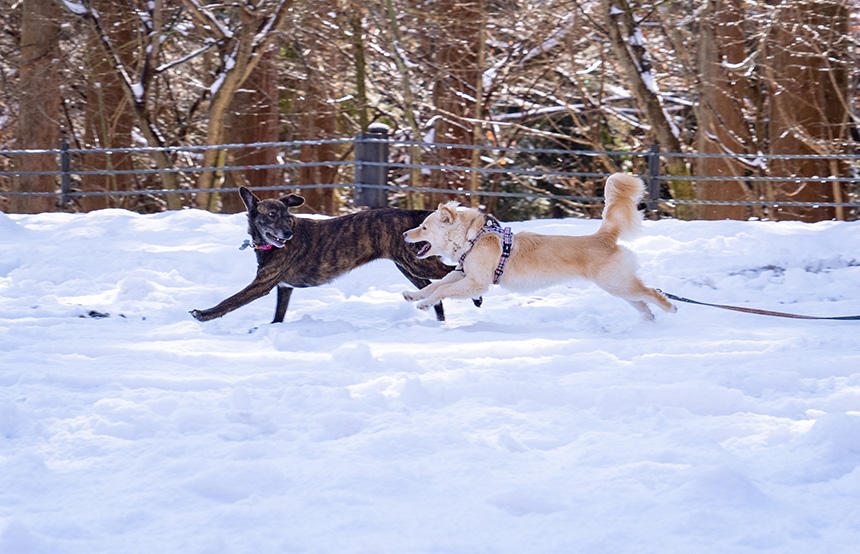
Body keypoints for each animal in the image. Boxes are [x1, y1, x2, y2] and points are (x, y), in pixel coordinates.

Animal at [189, 188, 478, 322]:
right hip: (409, 267)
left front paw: (204, 314)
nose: (287, 234)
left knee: (455, 272)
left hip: (418, 265)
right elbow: (278, 316)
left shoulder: (262, 285)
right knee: (434, 291)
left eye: (286, 216)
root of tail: (414, 214)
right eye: (271, 214)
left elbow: (229, 301)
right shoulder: (284, 287)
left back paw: (476, 296)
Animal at [404, 172, 680, 320]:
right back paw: (649, 321)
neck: (473, 238)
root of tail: (604, 236)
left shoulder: (476, 283)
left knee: (652, 292)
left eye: (424, 228)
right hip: (618, 287)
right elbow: (436, 285)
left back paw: (671, 307)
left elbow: (441, 290)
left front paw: (424, 304)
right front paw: (414, 296)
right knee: (642, 302)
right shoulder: (462, 273)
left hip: (617, 283)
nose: (406, 234)